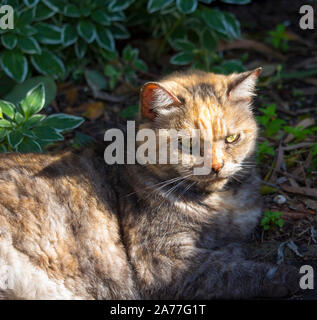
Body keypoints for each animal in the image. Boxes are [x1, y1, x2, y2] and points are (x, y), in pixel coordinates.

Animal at [0, 69, 296, 298]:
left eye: (232, 139)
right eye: (189, 144)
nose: (216, 166)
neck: (220, 205)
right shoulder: (163, 262)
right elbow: (235, 271)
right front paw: (290, 275)